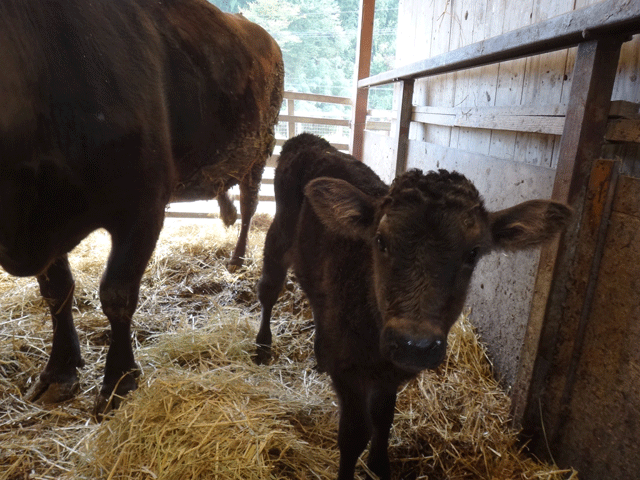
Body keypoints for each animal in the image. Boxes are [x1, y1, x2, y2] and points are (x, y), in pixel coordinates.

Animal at [0, 0, 282, 416]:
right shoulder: (42, 225)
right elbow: (57, 291)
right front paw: (60, 370)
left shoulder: (143, 209)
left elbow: (116, 294)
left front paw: (119, 379)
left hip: (259, 150)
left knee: (249, 204)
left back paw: (237, 257)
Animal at [258, 133, 572, 480]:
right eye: (380, 241)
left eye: (473, 253)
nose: (414, 344)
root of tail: (308, 138)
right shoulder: (349, 371)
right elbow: (355, 434)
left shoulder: (390, 373)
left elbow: (383, 420)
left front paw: (380, 466)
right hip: (278, 237)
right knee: (268, 290)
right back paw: (262, 348)